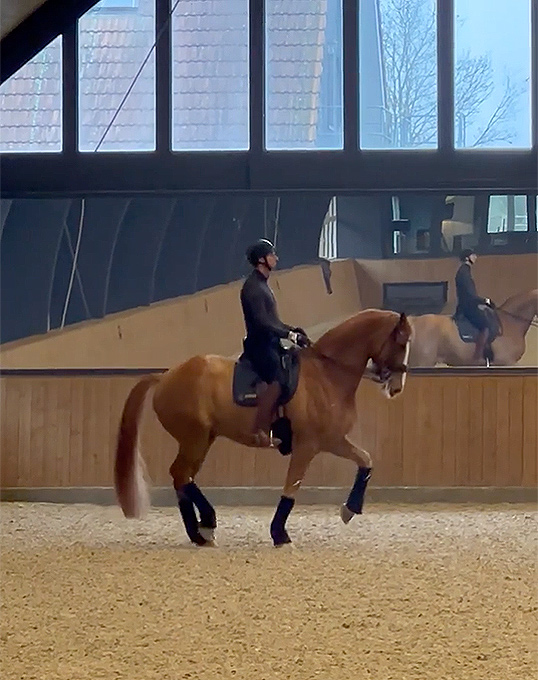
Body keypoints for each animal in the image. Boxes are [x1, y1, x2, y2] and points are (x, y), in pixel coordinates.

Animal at [113, 309, 412, 547]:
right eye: (401, 341)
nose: (397, 387)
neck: (327, 374)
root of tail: (166, 375)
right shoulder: (308, 445)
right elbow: (291, 488)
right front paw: (280, 534)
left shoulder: (333, 440)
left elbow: (365, 461)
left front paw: (350, 509)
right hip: (194, 438)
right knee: (180, 475)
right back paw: (203, 527)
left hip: (202, 439)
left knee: (183, 477)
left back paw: (202, 530)